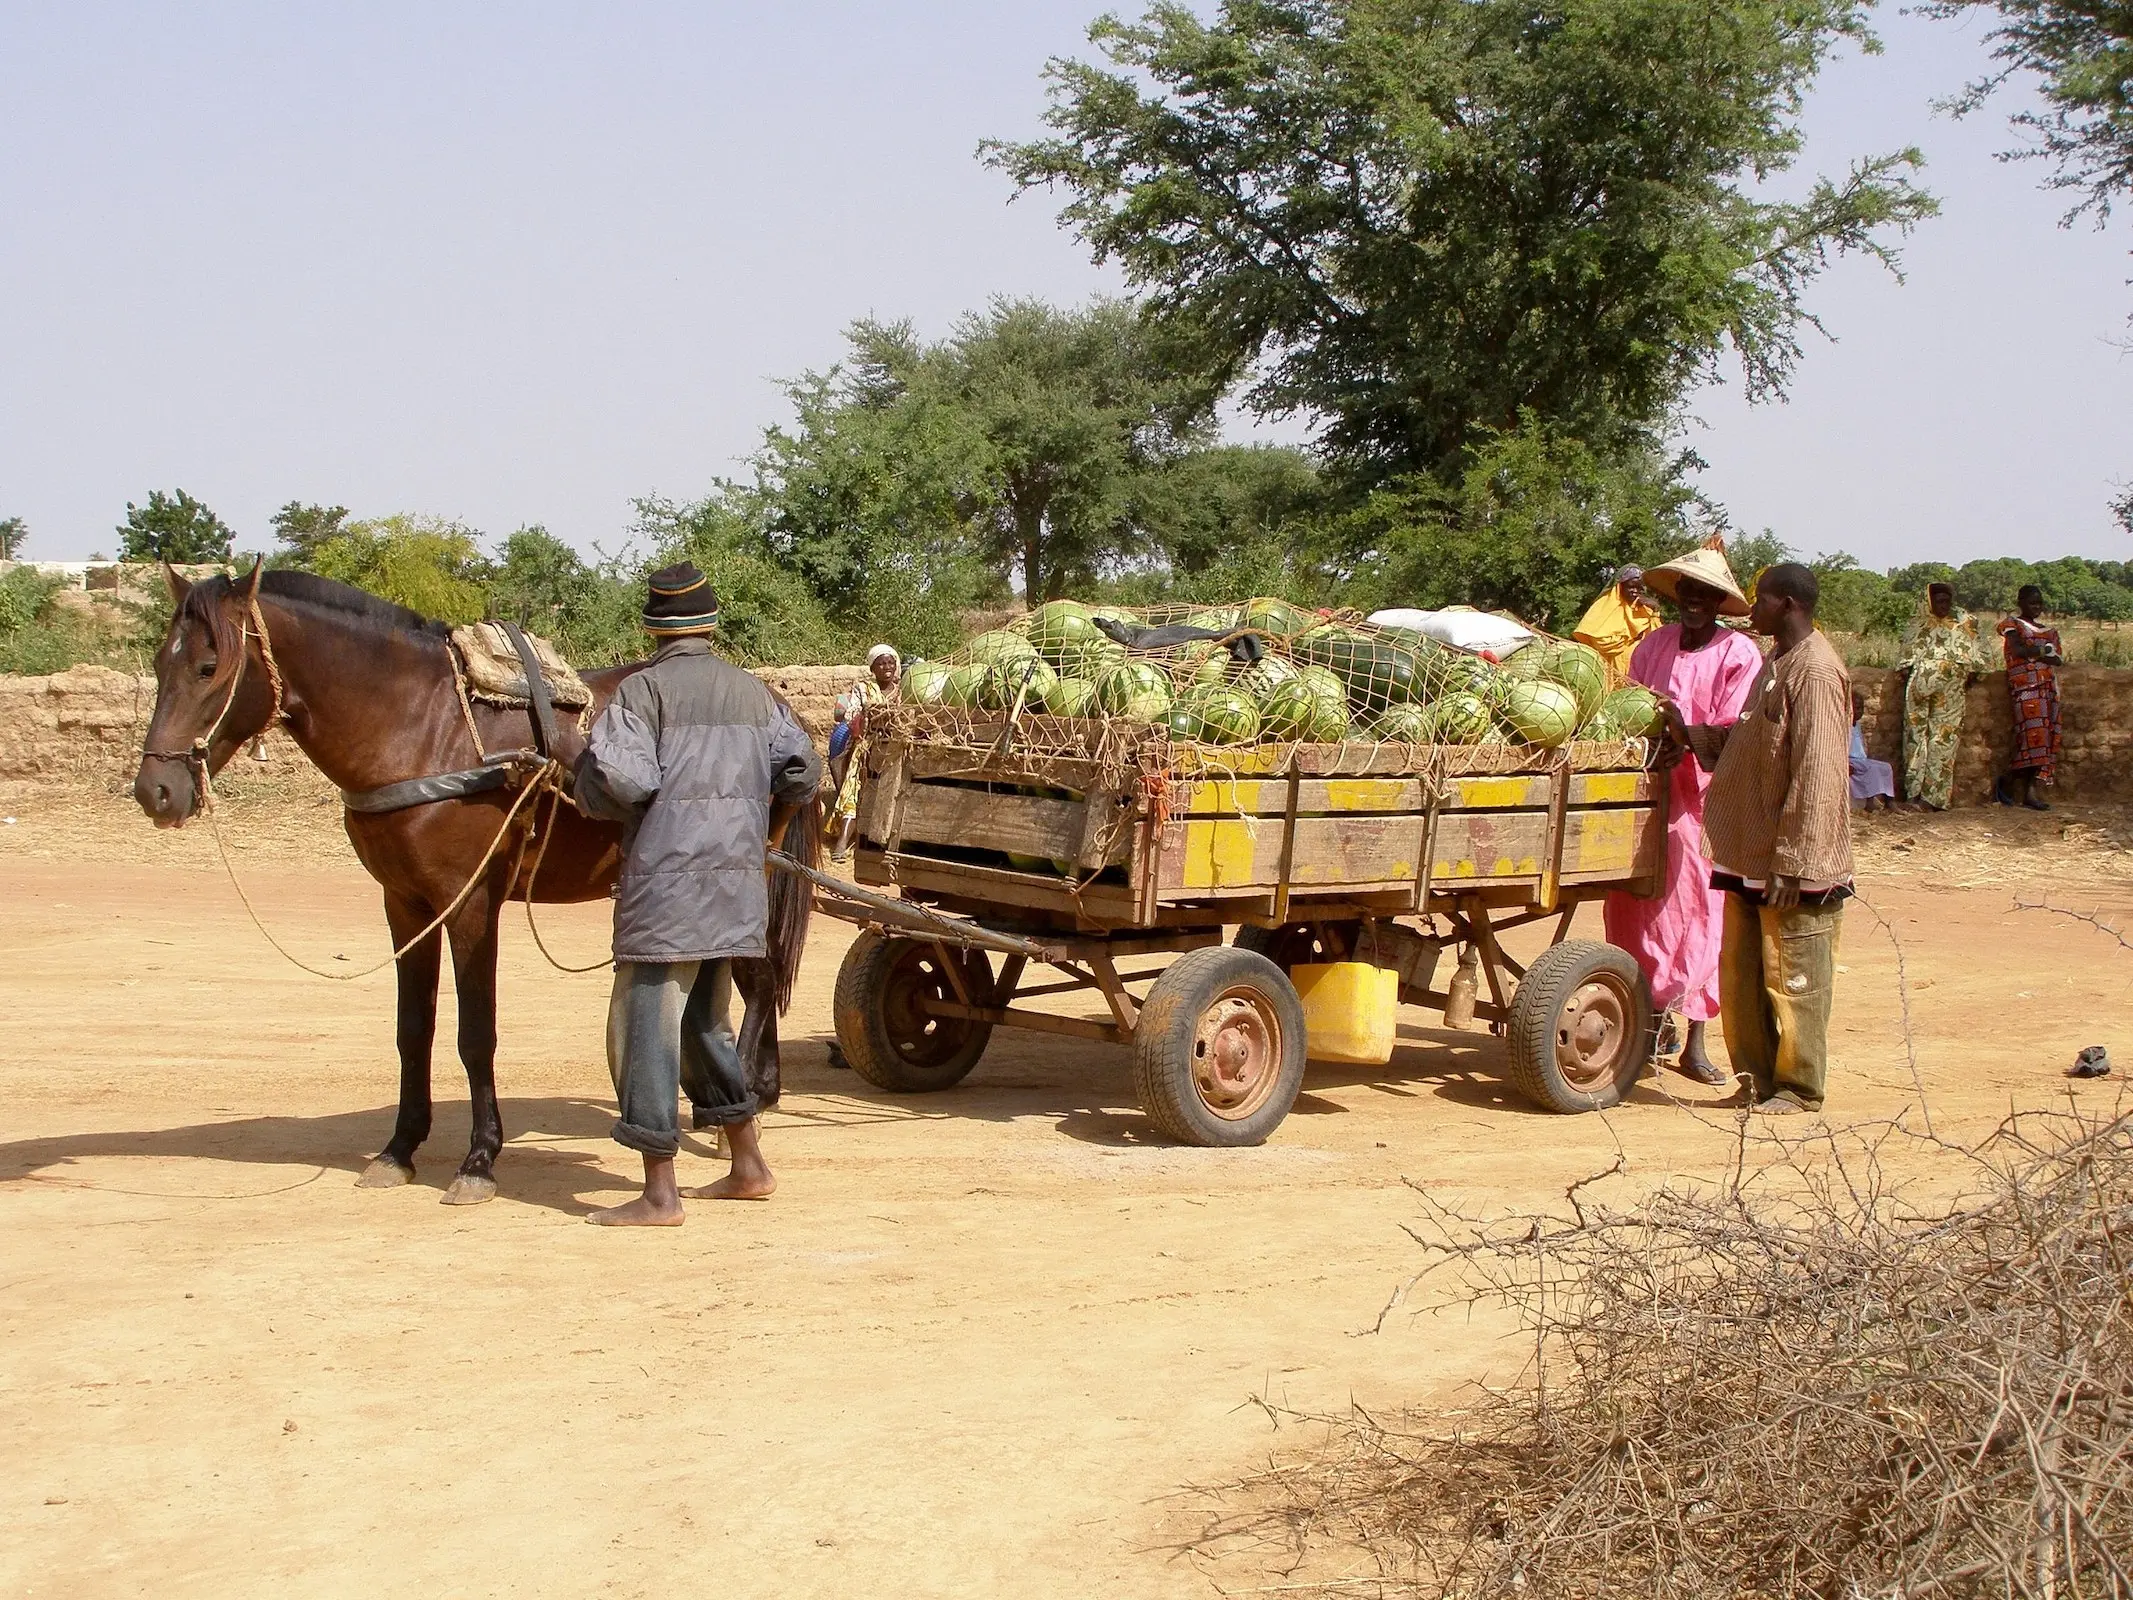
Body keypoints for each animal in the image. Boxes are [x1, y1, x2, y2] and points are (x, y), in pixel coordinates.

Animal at [131, 563, 814, 1203]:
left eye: (209, 666)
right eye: (161, 664)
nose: (155, 791)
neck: (421, 729)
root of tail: (780, 708)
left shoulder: (470, 904)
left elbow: (475, 1033)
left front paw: (479, 1159)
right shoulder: (406, 905)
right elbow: (414, 1030)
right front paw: (399, 1149)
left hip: (751, 873)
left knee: (757, 982)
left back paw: (741, 1107)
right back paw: (742, 1097)